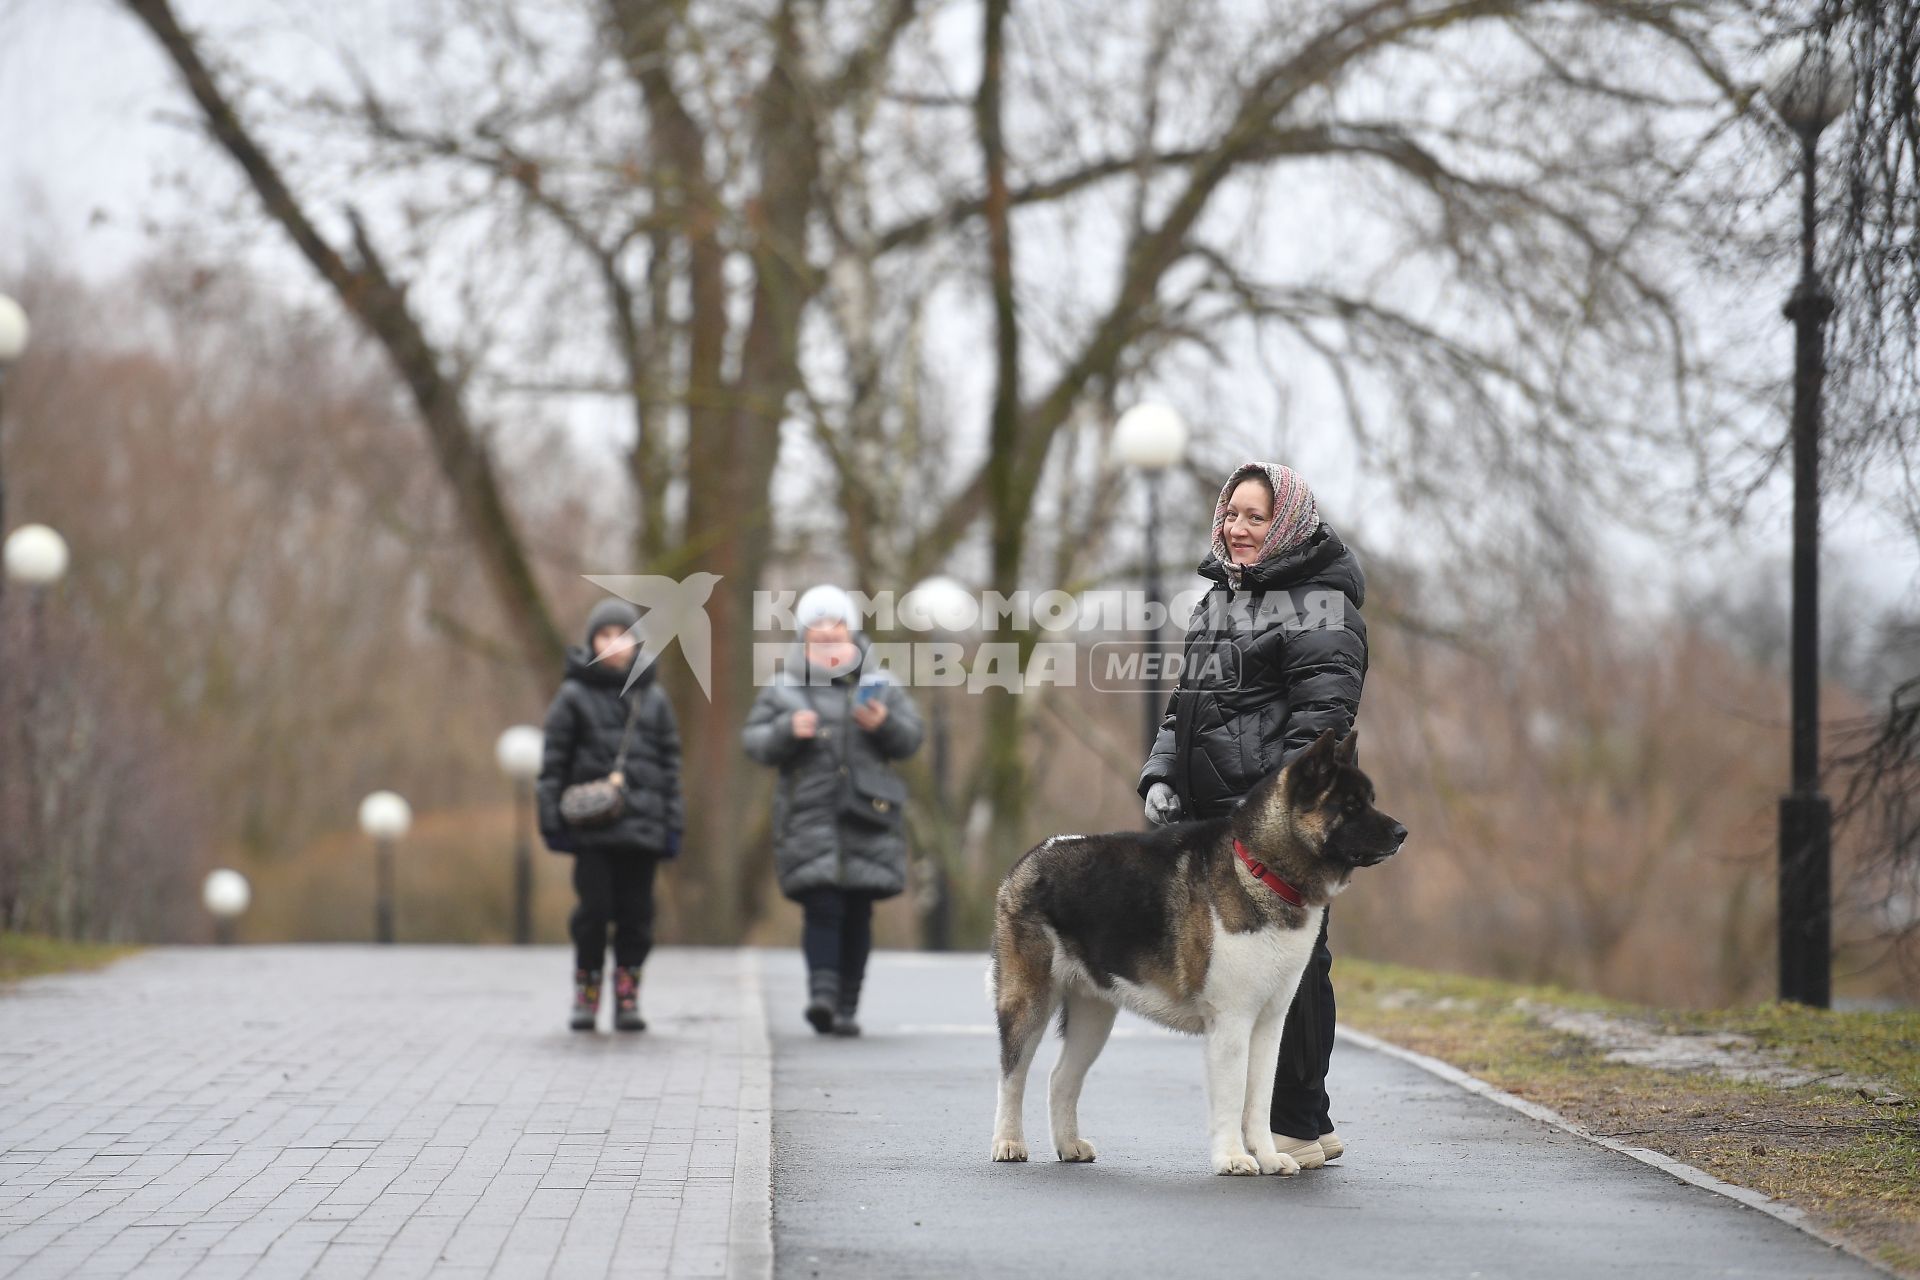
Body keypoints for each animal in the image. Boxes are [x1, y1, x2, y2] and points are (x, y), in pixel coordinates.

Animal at [990, 729, 1397, 1182]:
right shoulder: (1231, 1022)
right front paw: (1232, 1158)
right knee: (1012, 1074)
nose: (1401, 832)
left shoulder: (1269, 1024)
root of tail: (1035, 855)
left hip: (1094, 1013)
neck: (1260, 870)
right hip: (1029, 998)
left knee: (1061, 1078)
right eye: (1350, 806)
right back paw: (1008, 1143)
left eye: (1370, 799)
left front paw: (1270, 1158)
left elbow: (1259, 1098)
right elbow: (1233, 1094)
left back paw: (1069, 1145)